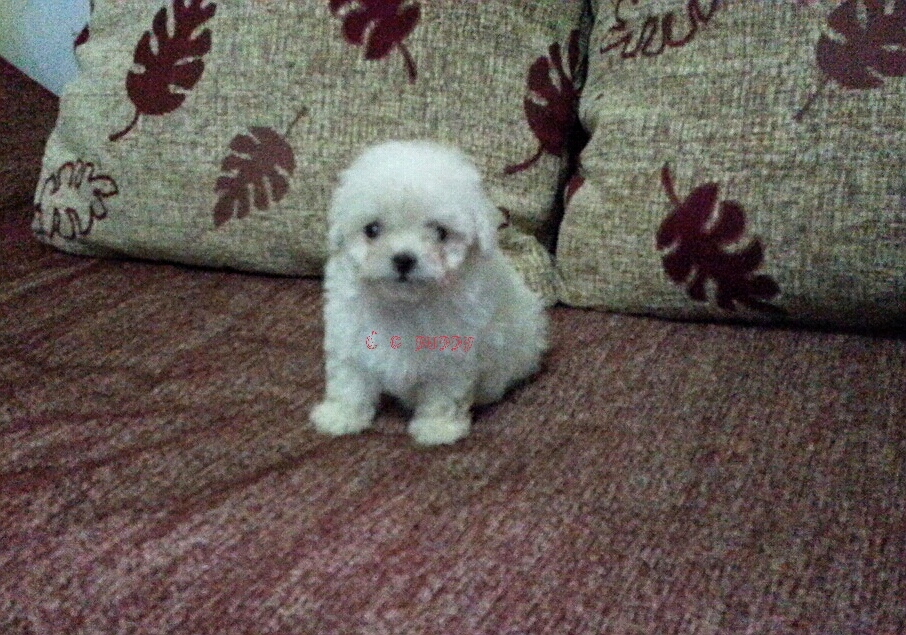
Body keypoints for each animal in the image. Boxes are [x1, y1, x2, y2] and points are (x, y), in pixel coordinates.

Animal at [310, 140, 548, 445]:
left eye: (440, 232)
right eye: (372, 229)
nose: (403, 259)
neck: (405, 303)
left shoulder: (453, 353)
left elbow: (443, 394)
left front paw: (437, 428)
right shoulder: (350, 335)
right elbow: (349, 379)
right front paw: (341, 415)